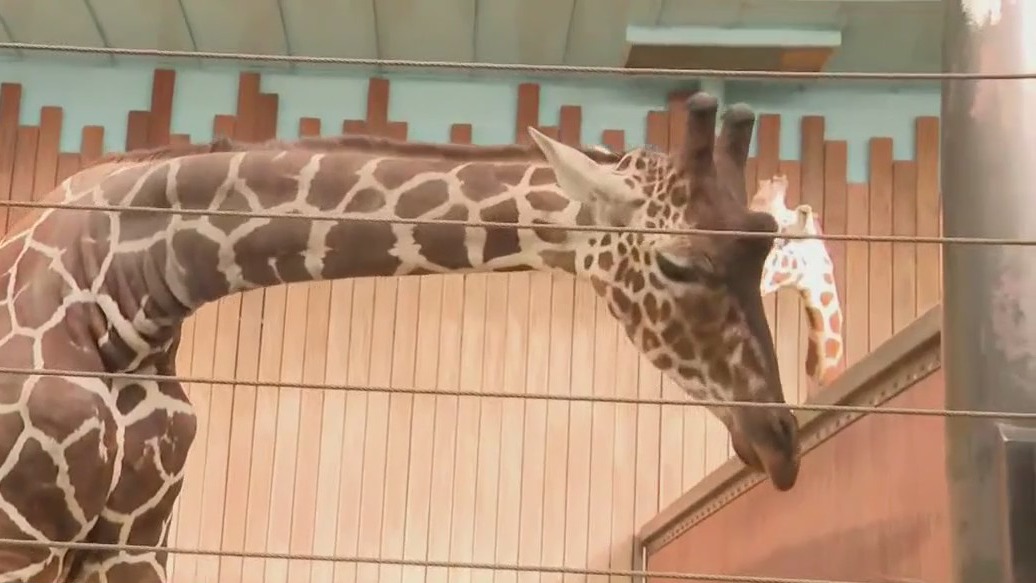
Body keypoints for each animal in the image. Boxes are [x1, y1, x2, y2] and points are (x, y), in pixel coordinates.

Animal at [0, 92, 798, 583]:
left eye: (766, 244)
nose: (780, 443)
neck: (127, 292)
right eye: (678, 263)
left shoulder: (134, 537)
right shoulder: (26, 532)